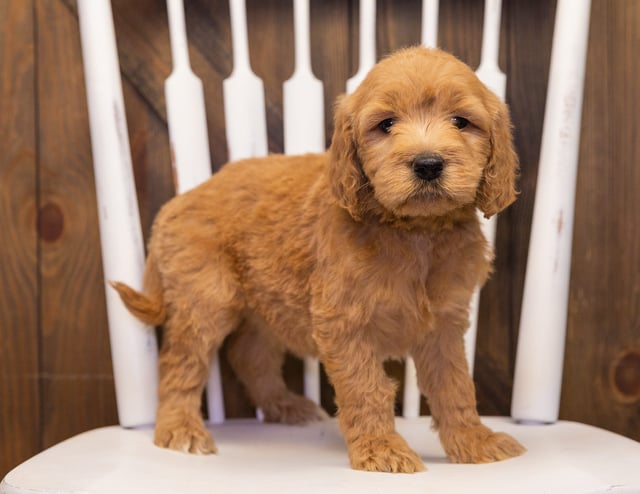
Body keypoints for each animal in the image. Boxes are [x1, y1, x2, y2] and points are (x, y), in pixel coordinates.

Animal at [114, 47, 524, 474]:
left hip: (265, 303)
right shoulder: (343, 322)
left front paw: (474, 441)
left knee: (250, 356)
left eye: (461, 122)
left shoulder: (443, 325)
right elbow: (366, 388)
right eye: (386, 124)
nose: (427, 164)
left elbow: (455, 386)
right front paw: (381, 449)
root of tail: (177, 202)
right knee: (180, 362)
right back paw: (179, 429)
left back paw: (284, 406)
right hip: (205, 301)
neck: (415, 232)